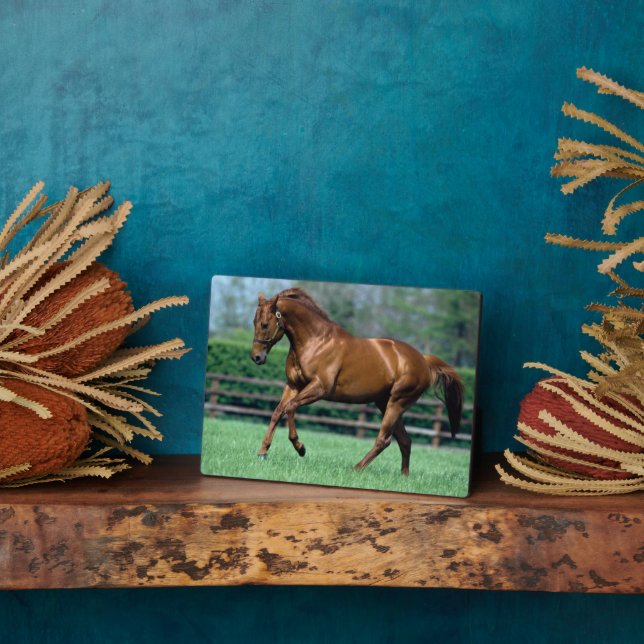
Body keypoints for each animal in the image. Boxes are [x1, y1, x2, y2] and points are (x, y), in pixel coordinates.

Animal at [250, 288, 463, 475]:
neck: (316, 342)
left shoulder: (319, 388)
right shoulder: (293, 385)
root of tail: (423, 360)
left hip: (397, 403)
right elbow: (278, 412)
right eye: (254, 322)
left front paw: (300, 447)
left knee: (384, 440)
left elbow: (291, 407)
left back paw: (356, 469)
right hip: (384, 403)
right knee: (405, 441)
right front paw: (262, 452)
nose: (256, 358)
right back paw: (404, 477)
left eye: (264, 324)